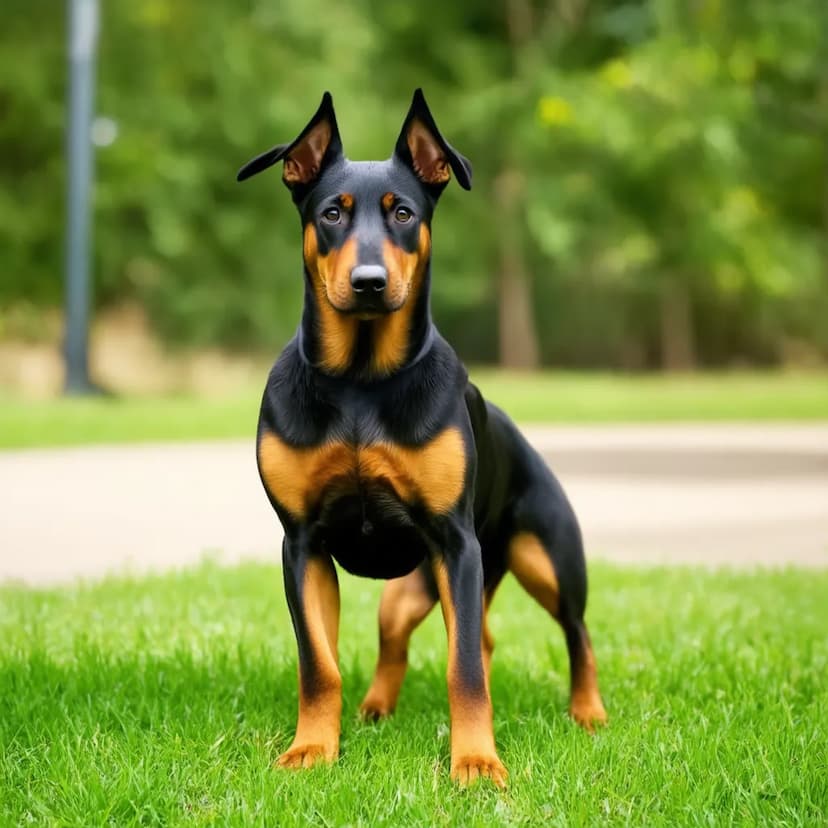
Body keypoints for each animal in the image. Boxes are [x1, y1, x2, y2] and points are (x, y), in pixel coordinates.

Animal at [236, 90, 604, 788]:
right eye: (331, 213)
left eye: (403, 213)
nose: (370, 282)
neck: (361, 382)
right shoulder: (302, 545)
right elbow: (318, 664)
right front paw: (312, 748)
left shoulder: (456, 543)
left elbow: (464, 669)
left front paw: (478, 762)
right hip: (409, 592)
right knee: (408, 639)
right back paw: (376, 708)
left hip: (543, 559)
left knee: (573, 632)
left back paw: (589, 712)